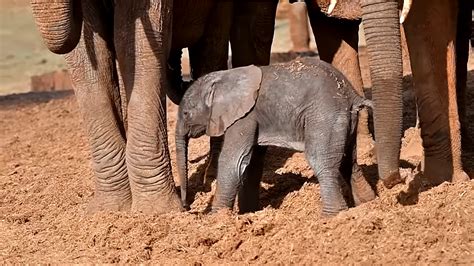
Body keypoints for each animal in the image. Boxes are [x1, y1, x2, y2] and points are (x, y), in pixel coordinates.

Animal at [31, 0, 278, 213]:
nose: (187, 205)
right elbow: (90, 56)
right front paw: (108, 210)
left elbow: (133, 43)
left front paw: (155, 211)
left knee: (221, 47)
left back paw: (215, 174)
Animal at [174, 56, 374, 216]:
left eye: (185, 113)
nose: (186, 207)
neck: (223, 77)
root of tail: (352, 94)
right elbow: (251, 161)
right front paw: (248, 212)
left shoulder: (244, 116)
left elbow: (233, 160)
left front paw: (216, 217)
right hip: (345, 119)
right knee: (349, 162)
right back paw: (367, 204)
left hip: (325, 115)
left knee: (322, 161)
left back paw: (331, 216)